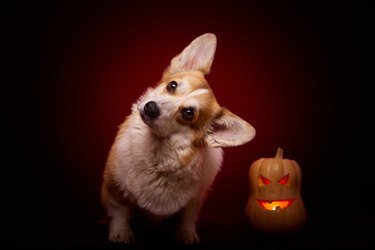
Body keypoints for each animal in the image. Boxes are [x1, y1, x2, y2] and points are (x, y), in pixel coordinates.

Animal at [101, 33, 258, 244]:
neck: (159, 158)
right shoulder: (115, 188)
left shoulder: (195, 199)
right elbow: (120, 212)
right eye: (172, 85)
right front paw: (121, 232)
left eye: (189, 113)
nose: (150, 107)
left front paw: (186, 233)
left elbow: (188, 216)